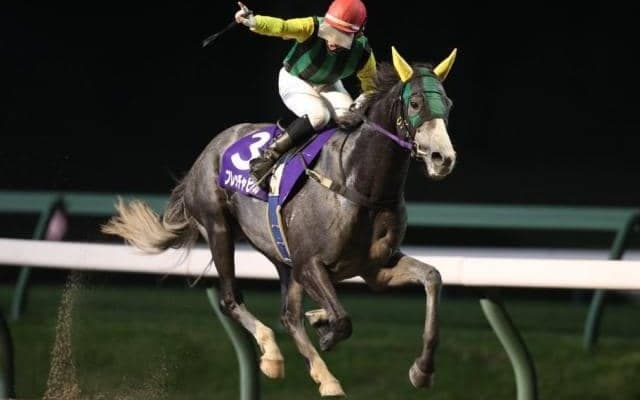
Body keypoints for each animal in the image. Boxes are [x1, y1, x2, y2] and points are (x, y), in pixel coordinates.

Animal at [102, 46, 457, 397]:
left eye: (448, 104)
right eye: (415, 103)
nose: (443, 158)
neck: (357, 182)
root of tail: (207, 152)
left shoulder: (374, 268)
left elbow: (432, 277)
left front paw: (422, 369)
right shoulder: (309, 263)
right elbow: (342, 320)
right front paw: (327, 331)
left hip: (279, 254)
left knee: (288, 315)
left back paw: (323, 372)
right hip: (218, 228)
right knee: (232, 299)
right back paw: (274, 355)